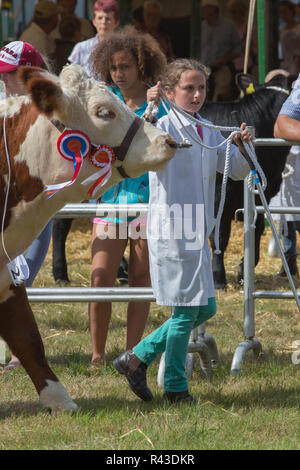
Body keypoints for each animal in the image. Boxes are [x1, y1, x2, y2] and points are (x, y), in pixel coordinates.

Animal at [199, 71, 296, 288]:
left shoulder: (262, 192)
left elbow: (257, 228)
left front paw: (244, 270)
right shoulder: (218, 195)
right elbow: (219, 234)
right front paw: (218, 278)